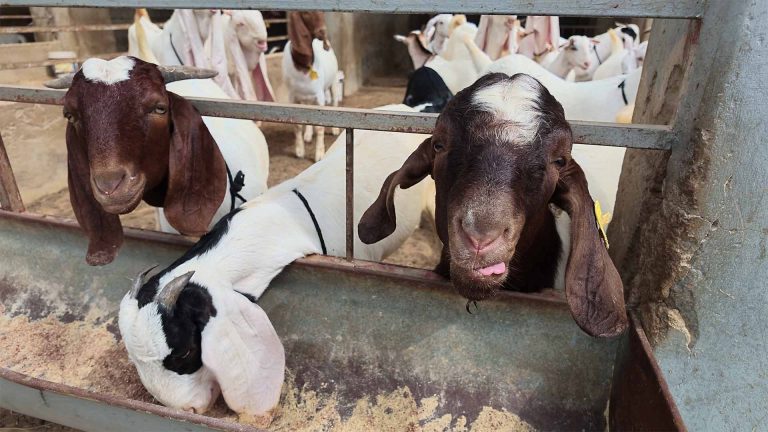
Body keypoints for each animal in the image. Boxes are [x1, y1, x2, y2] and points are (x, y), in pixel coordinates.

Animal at [282, 11, 341, 162]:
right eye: (305, 13)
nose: (323, 31)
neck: (304, 66)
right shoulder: (292, 97)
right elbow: (298, 125)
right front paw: (299, 151)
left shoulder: (319, 96)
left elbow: (320, 126)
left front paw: (319, 154)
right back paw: (308, 135)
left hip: (333, 82)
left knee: (334, 101)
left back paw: (334, 130)